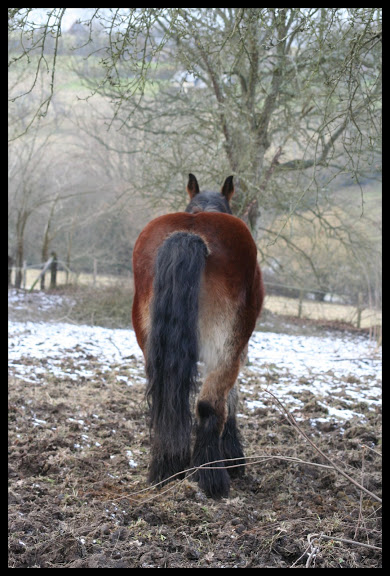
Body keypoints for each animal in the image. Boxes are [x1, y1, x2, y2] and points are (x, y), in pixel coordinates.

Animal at [132, 173, 266, 498]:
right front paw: (233, 458)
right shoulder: (238, 349)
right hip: (226, 347)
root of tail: (190, 234)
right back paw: (211, 477)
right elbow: (232, 398)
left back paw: (167, 469)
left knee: (165, 400)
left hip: (152, 347)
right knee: (209, 405)